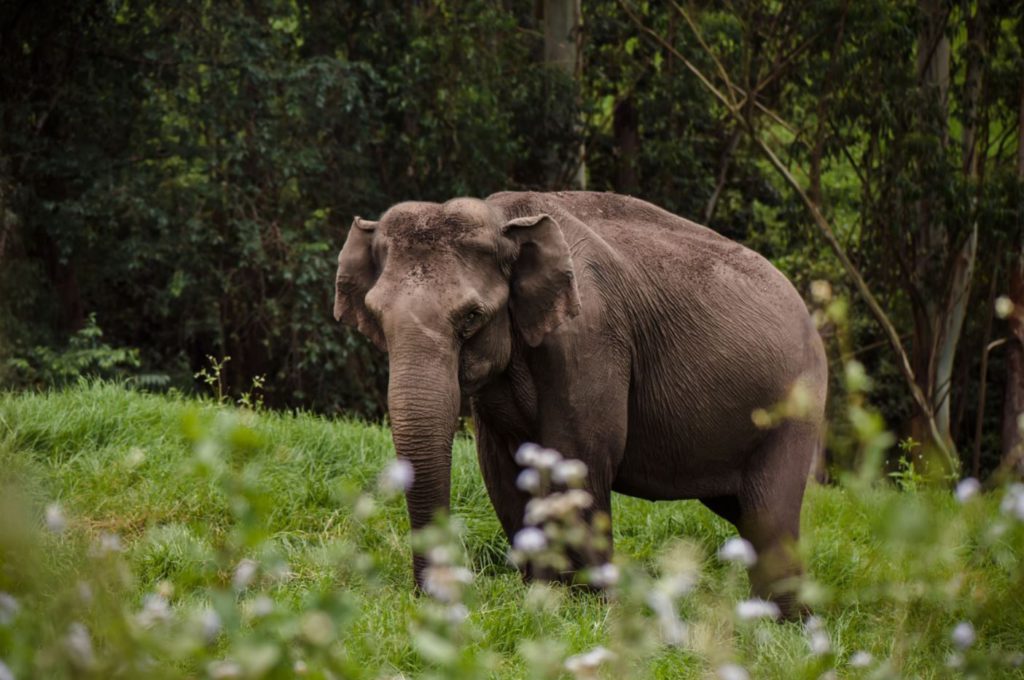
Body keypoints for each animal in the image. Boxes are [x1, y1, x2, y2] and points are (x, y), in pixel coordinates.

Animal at [331, 188, 827, 614]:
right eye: (375, 316)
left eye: (471, 316)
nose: (428, 598)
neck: (503, 217)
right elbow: (504, 469)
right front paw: (543, 598)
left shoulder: (589, 337)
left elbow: (579, 457)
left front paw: (587, 608)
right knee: (743, 512)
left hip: (795, 407)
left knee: (769, 515)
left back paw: (779, 626)